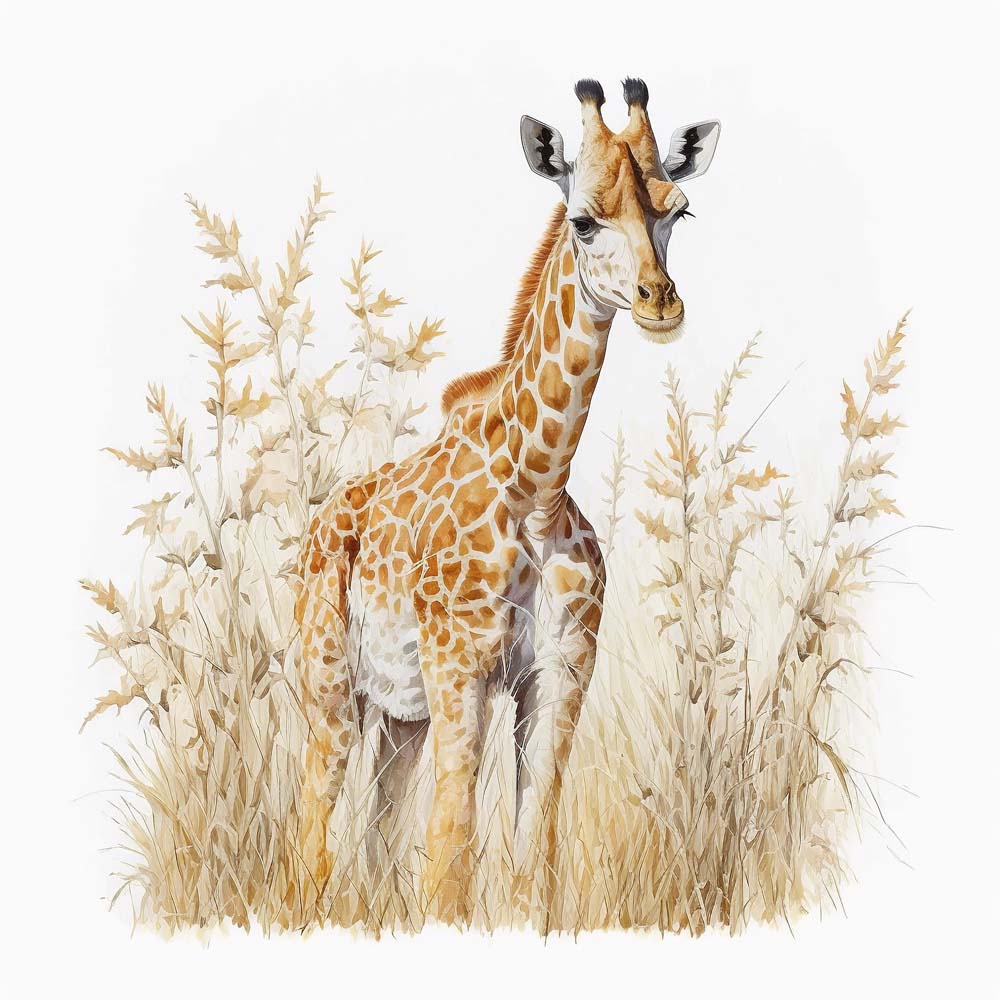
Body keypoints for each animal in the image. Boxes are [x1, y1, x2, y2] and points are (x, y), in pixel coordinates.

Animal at [294, 78, 720, 923]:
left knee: (375, 841)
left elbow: (531, 863)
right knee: (315, 842)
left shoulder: (559, 671)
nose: (661, 304)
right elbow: (451, 860)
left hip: (400, 714)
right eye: (584, 219)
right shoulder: (462, 668)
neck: (537, 488)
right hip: (331, 693)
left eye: (678, 209)